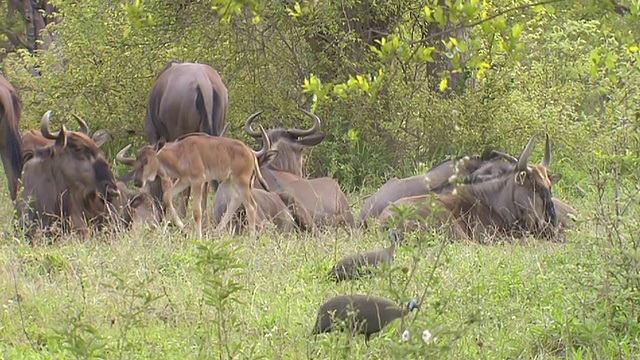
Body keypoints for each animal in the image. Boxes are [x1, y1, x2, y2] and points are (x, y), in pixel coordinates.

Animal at [117, 128, 270, 238]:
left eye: (146, 161)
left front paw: (198, 237)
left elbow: (197, 211)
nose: (138, 182)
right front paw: (175, 228)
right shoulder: (184, 181)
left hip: (242, 183)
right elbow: (167, 197)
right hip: (231, 182)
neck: (180, 152)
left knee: (251, 206)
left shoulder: (198, 182)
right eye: (136, 161)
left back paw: (251, 240)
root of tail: (251, 152)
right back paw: (216, 232)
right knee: (235, 202)